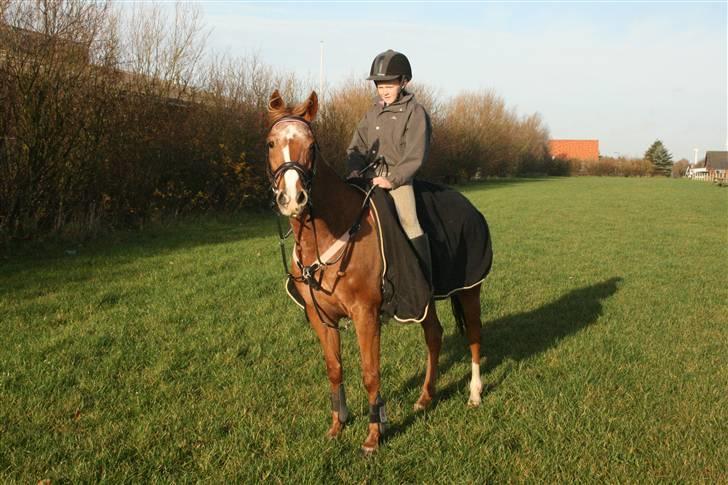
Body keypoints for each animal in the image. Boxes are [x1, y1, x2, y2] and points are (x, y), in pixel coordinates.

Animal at [266, 89, 485, 453]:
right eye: (271, 143)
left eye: (312, 145)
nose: (293, 198)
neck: (334, 227)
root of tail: (469, 206)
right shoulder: (320, 317)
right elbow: (334, 369)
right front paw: (337, 425)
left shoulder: (365, 314)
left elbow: (370, 373)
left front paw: (373, 435)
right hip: (424, 301)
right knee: (434, 335)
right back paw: (425, 398)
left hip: (470, 290)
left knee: (474, 336)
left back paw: (475, 394)